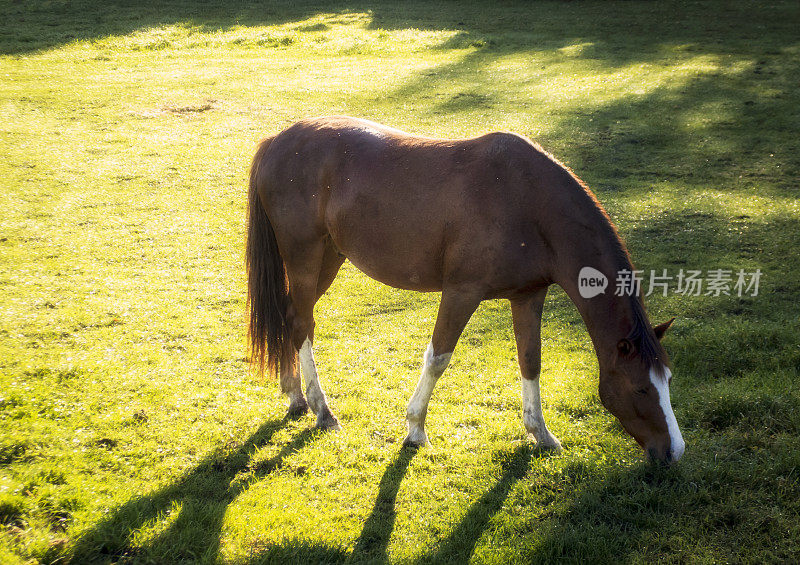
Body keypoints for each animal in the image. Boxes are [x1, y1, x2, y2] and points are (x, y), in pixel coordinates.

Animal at [247, 113, 684, 462]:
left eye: (668, 381)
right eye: (641, 389)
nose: (674, 452)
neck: (528, 202)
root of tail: (276, 141)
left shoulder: (528, 296)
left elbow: (530, 360)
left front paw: (541, 435)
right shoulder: (461, 293)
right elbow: (438, 358)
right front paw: (415, 429)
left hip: (328, 259)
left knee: (290, 316)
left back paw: (295, 395)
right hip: (304, 258)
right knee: (302, 324)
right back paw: (322, 410)